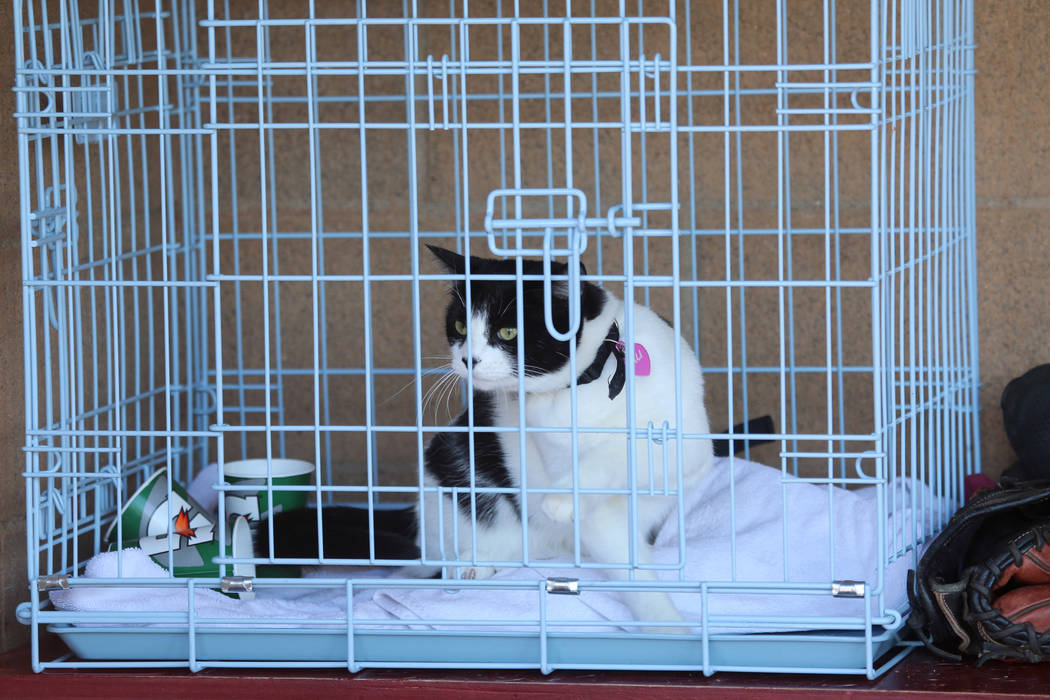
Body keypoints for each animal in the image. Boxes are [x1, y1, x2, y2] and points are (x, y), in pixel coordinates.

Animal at [256, 245, 713, 629]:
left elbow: (634, 450)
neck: (588, 383)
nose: (466, 358)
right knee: (434, 559)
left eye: (508, 333)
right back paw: (475, 565)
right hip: (448, 473)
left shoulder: (691, 442)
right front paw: (669, 627)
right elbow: (619, 548)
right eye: (460, 325)